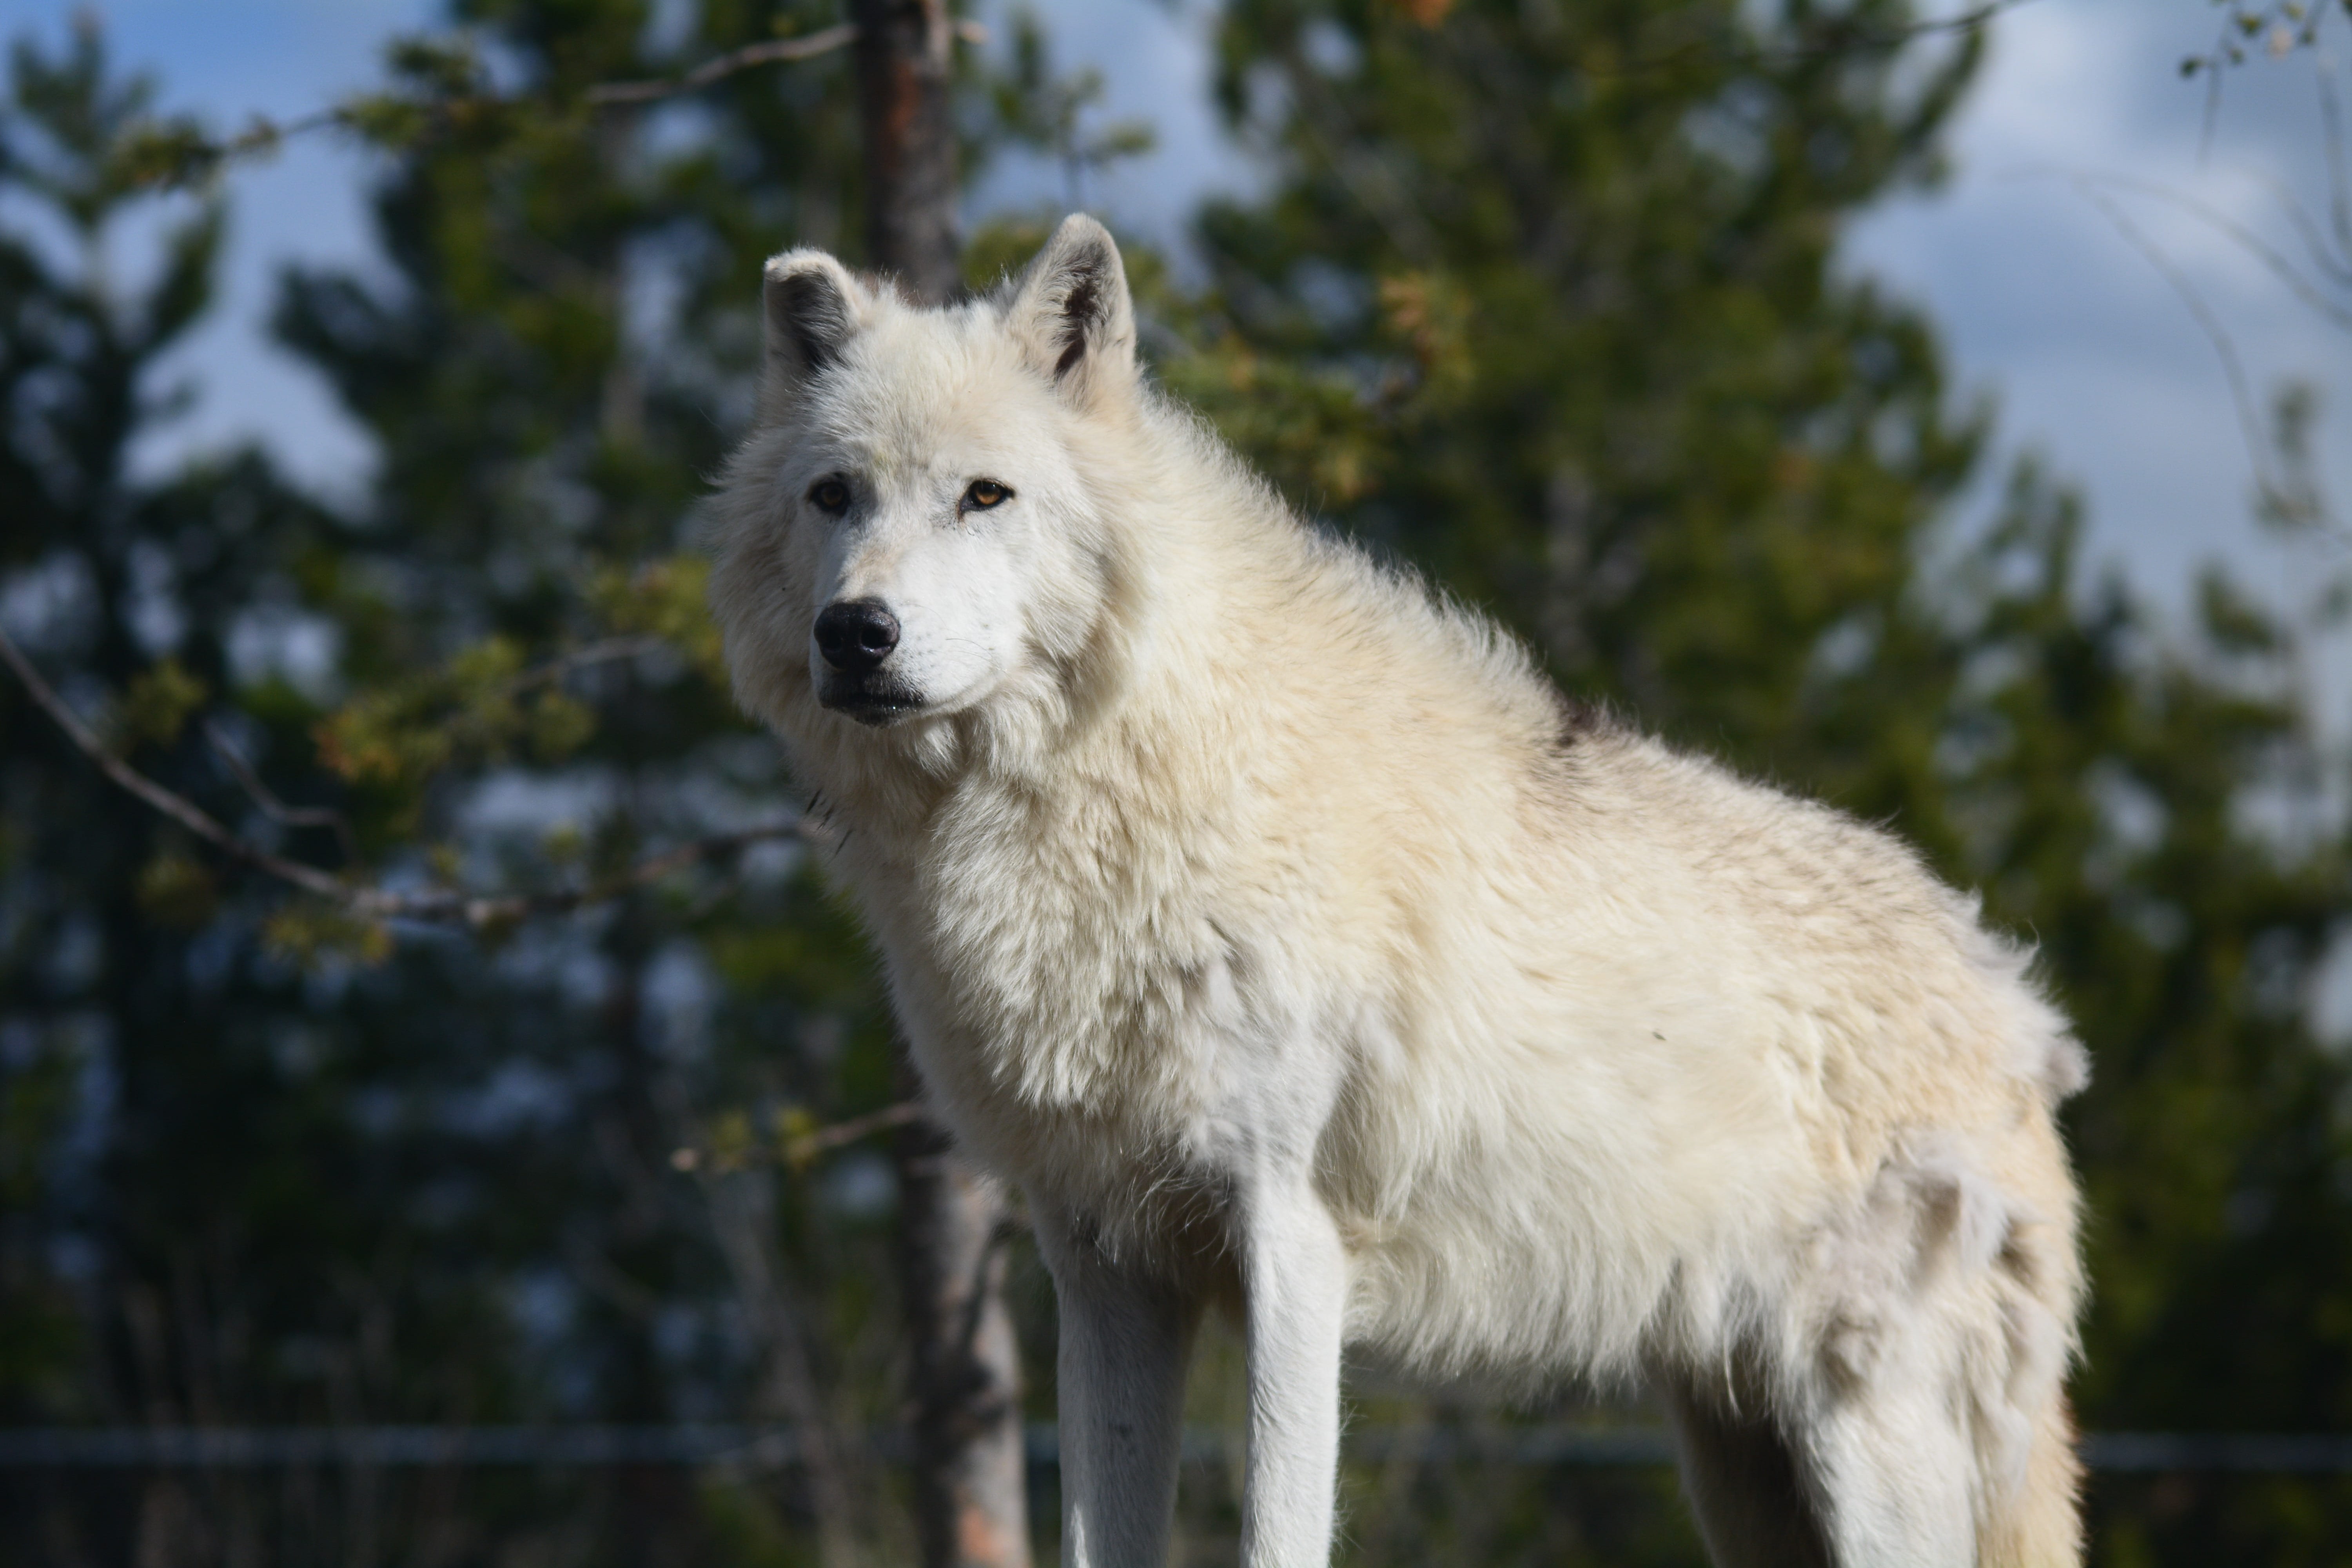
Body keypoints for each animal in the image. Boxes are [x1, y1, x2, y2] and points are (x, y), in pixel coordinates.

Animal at [707, 214, 2088, 1568]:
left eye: (983, 495)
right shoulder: (1104, 1263)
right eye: (835, 496)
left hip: (1865, 1442)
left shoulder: (1290, 1242)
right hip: (1740, 1467)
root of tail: (2013, 1002)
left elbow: (1277, 1532)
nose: (857, 633)